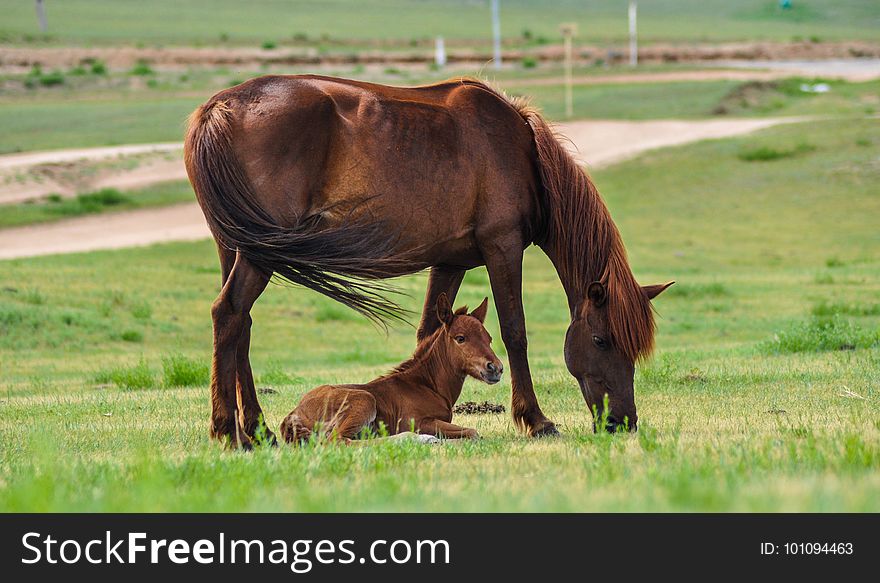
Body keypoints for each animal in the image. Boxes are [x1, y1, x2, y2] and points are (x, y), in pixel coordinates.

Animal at [282, 294, 502, 444]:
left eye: (489, 339)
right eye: (460, 338)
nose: (496, 368)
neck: (427, 385)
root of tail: (294, 414)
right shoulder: (418, 421)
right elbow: (472, 432)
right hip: (364, 400)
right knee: (339, 441)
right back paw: (418, 439)